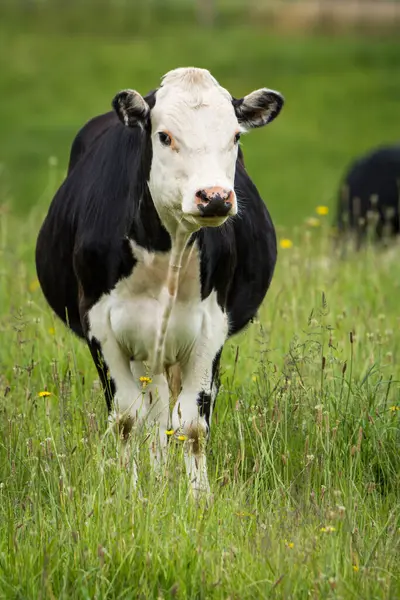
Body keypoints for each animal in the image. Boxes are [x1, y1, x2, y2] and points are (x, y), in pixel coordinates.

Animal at [35, 67, 284, 496]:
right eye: (165, 136)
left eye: (235, 136)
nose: (214, 197)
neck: (167, 252)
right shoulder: (100, 326)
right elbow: (126, 419)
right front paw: (129, 493)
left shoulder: (211, 327)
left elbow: (192, 424)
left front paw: (199, 497)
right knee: (151, 413)